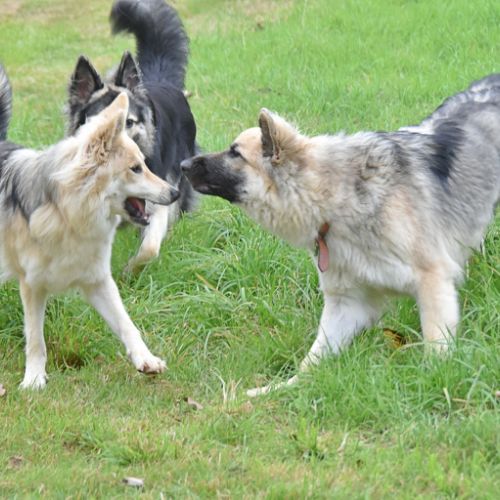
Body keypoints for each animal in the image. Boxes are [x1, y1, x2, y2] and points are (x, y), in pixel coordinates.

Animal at [0, 64, 179, 389]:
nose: (175, 193)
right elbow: (35, 339)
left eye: (145, 163)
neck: (68, 215)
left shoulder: (98, 281)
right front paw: (34, 380)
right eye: (135, 169)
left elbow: (126, 323)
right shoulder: (32, 285)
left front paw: (145, 359)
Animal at [181, 75, 500, 396]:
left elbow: (436, 346)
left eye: (235, 153)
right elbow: (311, 361)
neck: (336, 196)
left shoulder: (432, 280)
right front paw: (279, 389)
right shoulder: (347, 304)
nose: (182, 165)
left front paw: (435, 380)